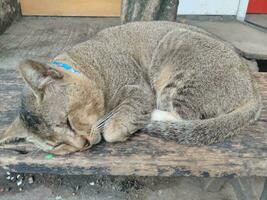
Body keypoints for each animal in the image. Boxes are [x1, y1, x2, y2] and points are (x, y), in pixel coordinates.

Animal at [0, 21, 262, 155]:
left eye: (68, 122)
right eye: (57, 145)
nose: (83, 144)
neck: (89, 65)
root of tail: (251, 86)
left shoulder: (139, 88)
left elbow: (112, 130)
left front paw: (119, 127)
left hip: (177, 60)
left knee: (186, 116)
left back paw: (155, 116)